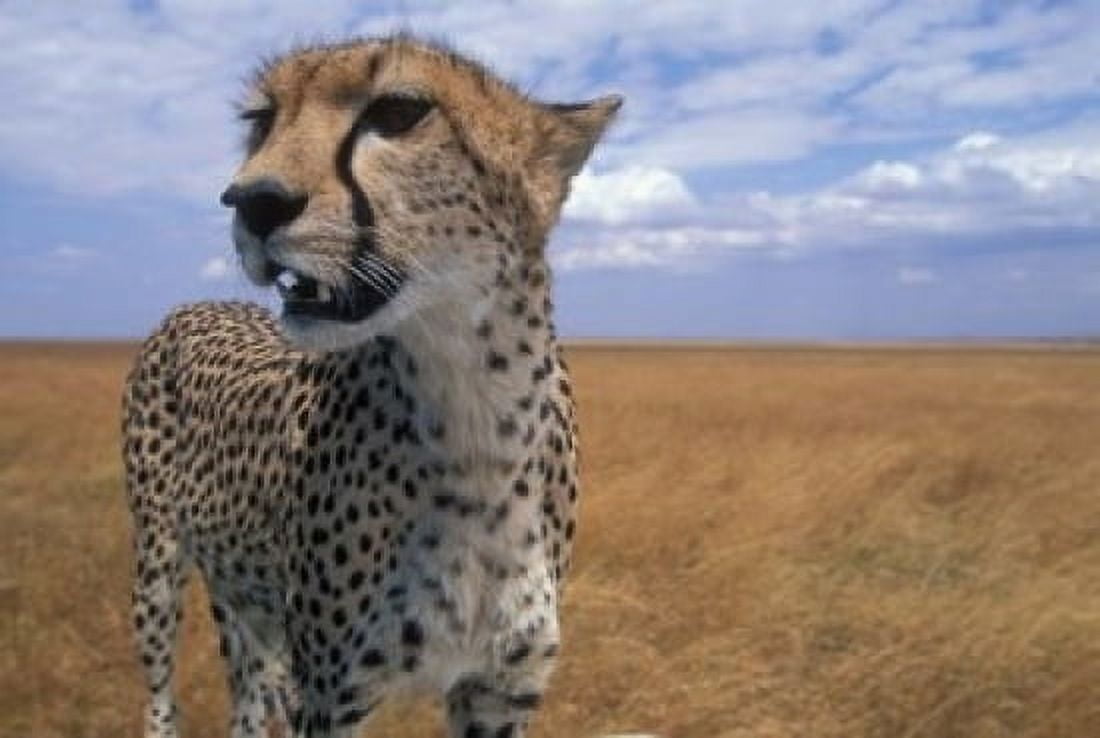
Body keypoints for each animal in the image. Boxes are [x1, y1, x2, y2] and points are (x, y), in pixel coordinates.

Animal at [122, 34, 620, 738]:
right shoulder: (329, 692)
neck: (476, 417)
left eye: (399, 111)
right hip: (159, 567)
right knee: (163, 700)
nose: (252, 201)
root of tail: (195, 305)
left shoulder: (500, 690)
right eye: (262, 121)